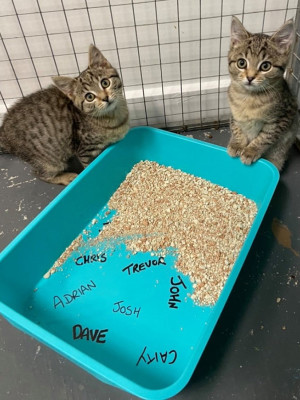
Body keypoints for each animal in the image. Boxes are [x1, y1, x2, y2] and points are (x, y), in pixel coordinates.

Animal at [0, 44, 129, 185]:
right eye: (89, 97)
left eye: (105, 83)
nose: (105, 98)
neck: (112, 116)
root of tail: (4, 131)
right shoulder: (84, 150)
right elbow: (89, 166)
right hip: (48, 159)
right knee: (41, 174)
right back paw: (66, 177)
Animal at [227, 16, 298, 170]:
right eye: (241, 63)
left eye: (265, 66)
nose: (250, 77)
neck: (250, 97)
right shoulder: (234, 114)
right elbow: (236, 127)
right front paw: (237, 143)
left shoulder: (281, 119)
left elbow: (266, 136)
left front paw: (251, 151)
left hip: (281, 149)